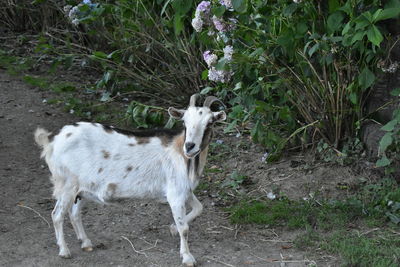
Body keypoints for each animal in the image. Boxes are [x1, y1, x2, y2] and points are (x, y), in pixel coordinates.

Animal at [33, 95, 225, 266]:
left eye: (210, 122)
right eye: (184, 122)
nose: (190, 146)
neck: (181, 153)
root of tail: (51, 142)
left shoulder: (185, 190)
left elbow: (199, 208)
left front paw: (171, 228)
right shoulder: (175, 193)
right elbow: (184, 228)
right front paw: (187, 257)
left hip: (82, 188)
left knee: (74, 213)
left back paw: (86, 242)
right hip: (66, 185)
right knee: (57, 215)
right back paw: (64, 251)